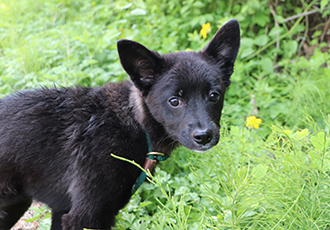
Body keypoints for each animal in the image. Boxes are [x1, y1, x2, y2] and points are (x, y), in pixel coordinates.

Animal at [0, 19, 240, 230]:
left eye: (214, 96)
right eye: (174, 101)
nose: (204, 136)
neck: (135, 124)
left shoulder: (62, 211)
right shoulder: (84, 215)